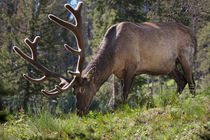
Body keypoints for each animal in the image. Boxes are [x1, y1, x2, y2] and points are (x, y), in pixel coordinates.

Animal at [13, 2, 197, 115]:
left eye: (82, 90)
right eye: (73, 92)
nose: (79, 112)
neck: (113, 57)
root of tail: (192, 33)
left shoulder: (132, 66)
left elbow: (124, 94)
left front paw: (123, 110)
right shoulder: (119, 73)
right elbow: (121, 93)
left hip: (186, 56)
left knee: (191, 81)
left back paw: (193, 101)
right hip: (169, 66)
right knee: (181, 81)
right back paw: (173, 100)